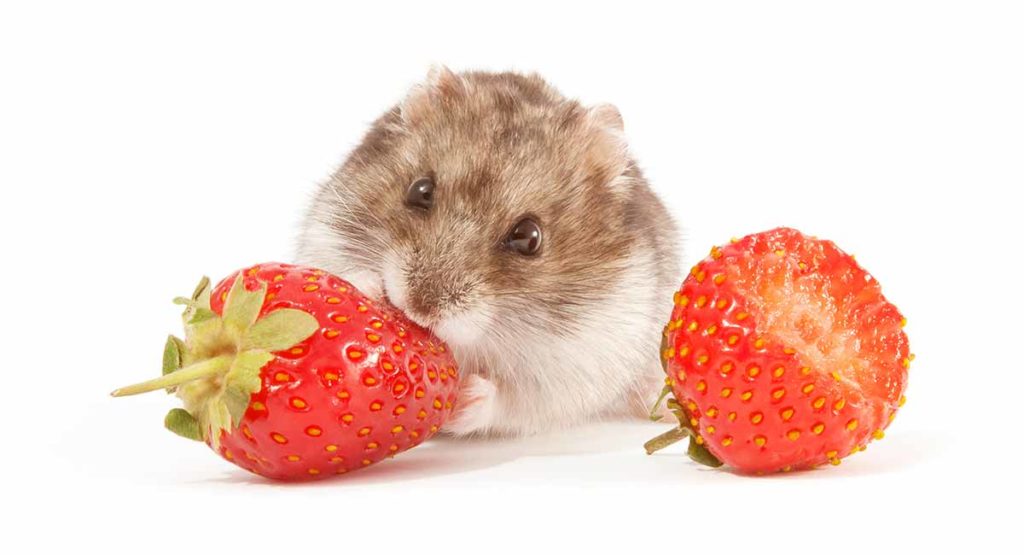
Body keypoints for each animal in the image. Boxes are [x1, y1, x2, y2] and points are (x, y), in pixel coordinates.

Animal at [296, 67, 681, 436]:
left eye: (529, 237)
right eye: (420, 190)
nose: (418, 309)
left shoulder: (577, 364)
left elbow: (510, 402)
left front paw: (465, 397)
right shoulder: (325, 236)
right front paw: (370, 287)